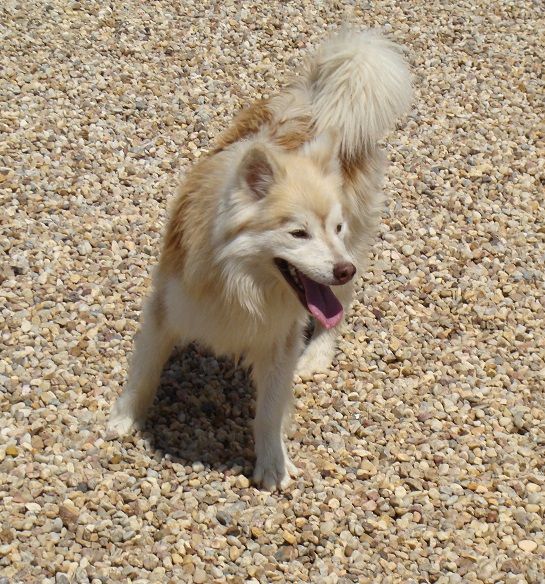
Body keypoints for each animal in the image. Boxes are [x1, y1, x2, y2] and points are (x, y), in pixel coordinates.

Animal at [108, 29, 410, 490]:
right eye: (298, 233)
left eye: (334, 227)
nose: (343, 270)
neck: (239, 282)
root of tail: (318, 97)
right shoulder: (166, 306)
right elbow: (143, 371)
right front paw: (124, 420)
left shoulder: (280, 338)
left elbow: (269, 410)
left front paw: (273, 465)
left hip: (357, 243)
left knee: (339, 310)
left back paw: (318, 355)